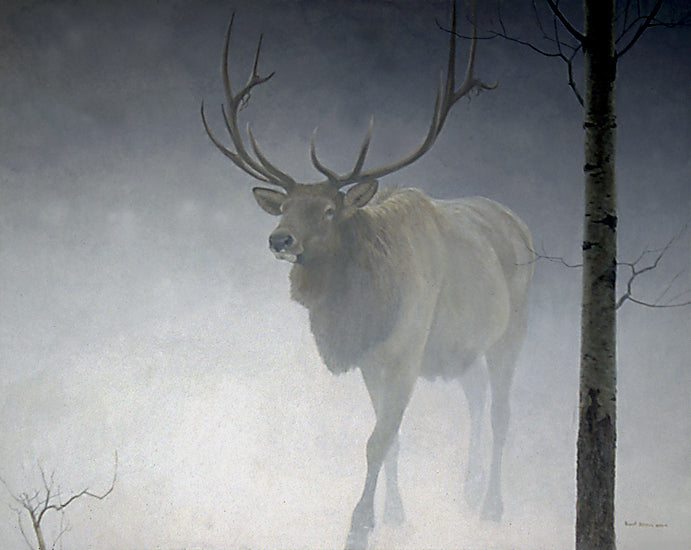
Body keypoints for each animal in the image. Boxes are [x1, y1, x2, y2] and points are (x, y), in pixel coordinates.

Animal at [201, 2, 533, 549]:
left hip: (513, 332)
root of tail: (519, 225)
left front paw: (358, 525)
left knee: (503, 415)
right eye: (285, 206)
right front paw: (394, 515)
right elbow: (390, 439)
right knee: (477, 401)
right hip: (466, 347)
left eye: (328, 210)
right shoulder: (371, 361)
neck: (363, 311)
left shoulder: (406, 349)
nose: (279, 240)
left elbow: (378, 441)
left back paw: (491, 506)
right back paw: (468, 490)